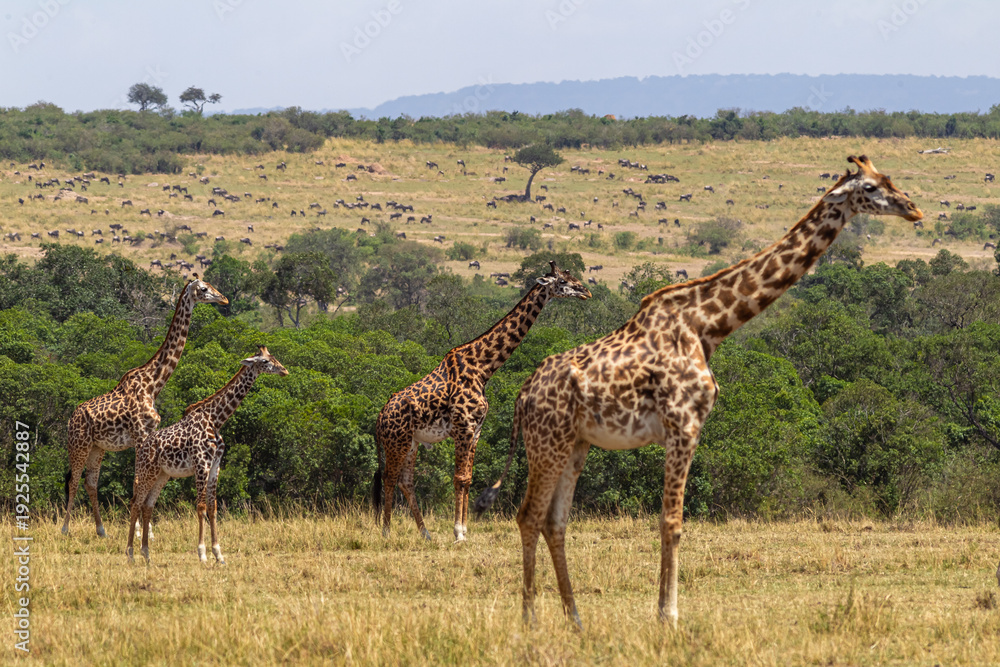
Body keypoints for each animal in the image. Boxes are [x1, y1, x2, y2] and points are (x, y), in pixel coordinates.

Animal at [62, 276, 228, 537]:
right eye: (203, 289)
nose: (224, 299)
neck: (154, 383)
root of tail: (70, 419)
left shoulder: (149, 435)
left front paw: (146, 529)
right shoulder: (140, 435)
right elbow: (138, 480)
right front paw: (142, 531)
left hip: (98, 448)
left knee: (90, 482)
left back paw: (101, 530)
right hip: (79, 444)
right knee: (73, 480)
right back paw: (65, 528)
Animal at [127, 346, 288, 564]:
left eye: (273, 357)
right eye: (264, 361)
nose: (284, 371)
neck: (216, 419)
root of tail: (142, 448)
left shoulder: (215, 465)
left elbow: (213, 508)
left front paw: (219, 554)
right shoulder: (201, 464)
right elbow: (201, 506)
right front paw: (202, 553)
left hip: (162, 475)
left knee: (147, 506)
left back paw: (146, 553)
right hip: (147, 471)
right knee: (136, 503)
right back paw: (130, 554)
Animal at [374, 261, 591, 542]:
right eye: (563, 281)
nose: (586, 292)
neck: (484, 368)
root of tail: (380, 417)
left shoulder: (476, 430)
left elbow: (468, 478)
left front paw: (464, 530)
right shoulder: (463, 426)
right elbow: (459, 478)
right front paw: (458, 533)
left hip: (412, 442)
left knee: (405, 481)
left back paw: (426, 533)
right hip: (397, 441)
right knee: (390, 478)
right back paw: (386, 532)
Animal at [474, 156, 923, 628]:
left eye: (889, 178)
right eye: (870, 189)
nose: (914, 209)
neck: (708, 326)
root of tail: (522, 396)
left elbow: (667, 520)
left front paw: (663, 613)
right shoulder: (684, 425)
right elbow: (671, 521)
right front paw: (668, 617)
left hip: (575, 444)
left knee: (554, 522)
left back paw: (576, 620)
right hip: (548, 442)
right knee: (529, 516)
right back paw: (530, 621)